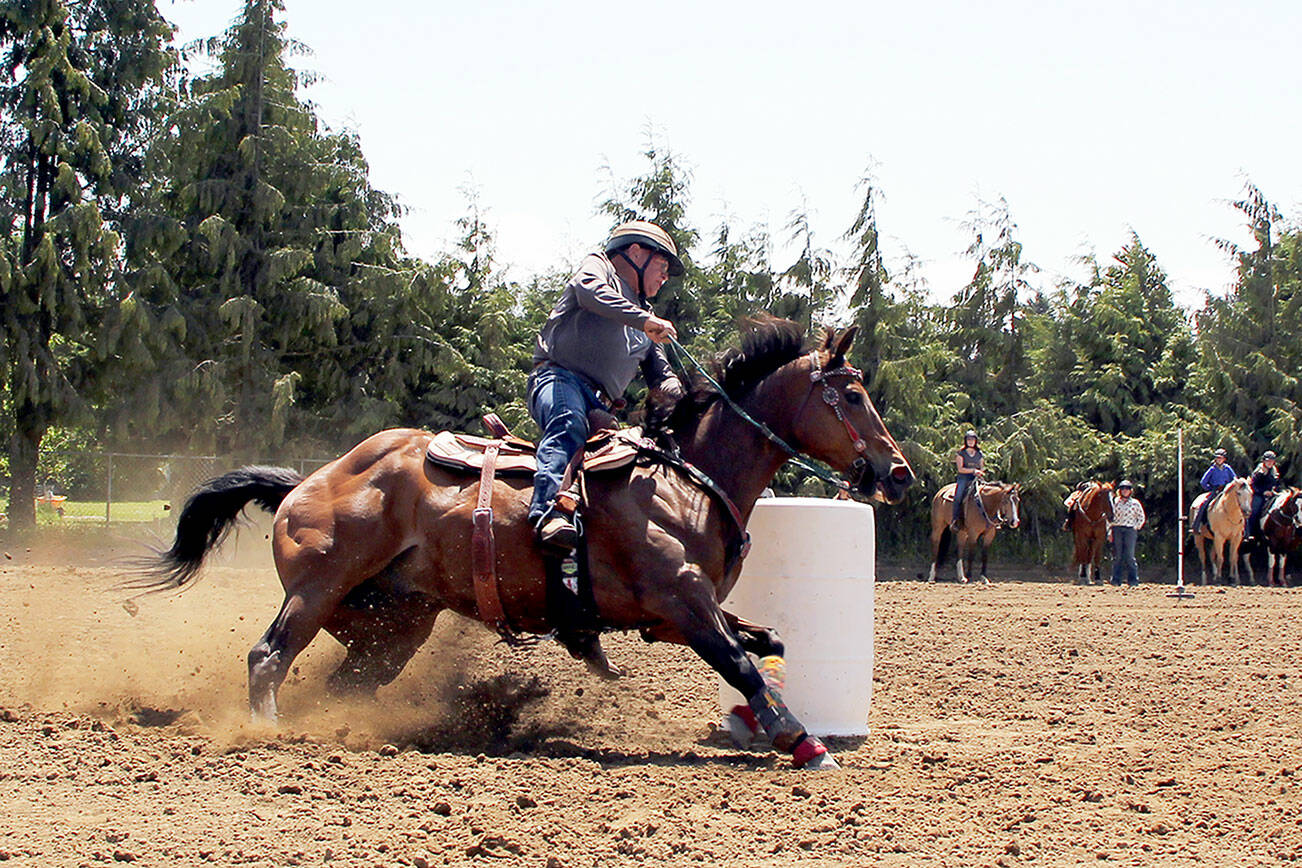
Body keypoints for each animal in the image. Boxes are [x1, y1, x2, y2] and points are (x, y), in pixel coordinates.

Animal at [134, 317, 914, 770]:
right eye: (850, 396)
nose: (898, 472)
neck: (685, 476)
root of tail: (311, 480)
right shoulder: (682, 603)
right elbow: (740, 663)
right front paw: (805, 741)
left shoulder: (679, 614)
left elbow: (767, 643)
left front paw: (768, 721)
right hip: (316, 590)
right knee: (267, 656)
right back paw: (267, 734)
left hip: (393, 625)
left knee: (342, 682)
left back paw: (346, 728)